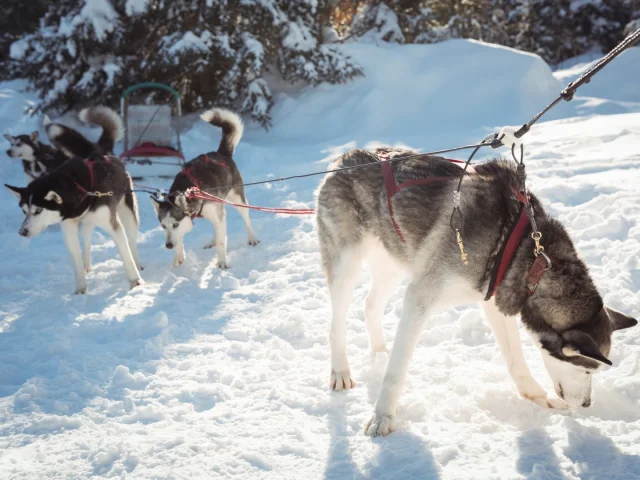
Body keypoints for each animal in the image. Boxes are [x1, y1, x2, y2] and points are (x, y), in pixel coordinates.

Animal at [6, 154, 142, 294]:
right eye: (24, 211)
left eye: (38, 210)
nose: (22, 231)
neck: (79, 189)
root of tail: (111, 157)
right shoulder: (69, 228)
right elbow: (76, 262)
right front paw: (81, 290)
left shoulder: (113, 226)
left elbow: (126, 255)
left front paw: (135, 281)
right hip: (88, 223)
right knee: (86, 238)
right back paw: (86, 265)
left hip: (129, 216)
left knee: (131, 241)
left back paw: (137, 263)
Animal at [151, 107, 258, 270]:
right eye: (163, 226)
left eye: (175, 224)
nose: (168, 245)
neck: (190, 189)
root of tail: (221, 153)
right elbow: (180, 238)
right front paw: (178, 255)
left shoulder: (215, 214)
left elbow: (221, 242)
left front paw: (222, 262)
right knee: (217, 228)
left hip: (237, 199)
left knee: (245, 219)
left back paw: (252, 238)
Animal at [318, 145, 636, 436]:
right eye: (587, 370)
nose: (586, 404)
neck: (529, 253)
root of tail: (346, 156)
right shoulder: (420, 299)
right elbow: (396, 372)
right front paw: (383, 416)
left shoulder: (496, 302)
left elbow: (516, 361)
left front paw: (537, 397)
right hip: (347, 262)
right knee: (336, 323)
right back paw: (340, 372)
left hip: (394, 261)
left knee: (370, 304)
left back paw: (380, 351)